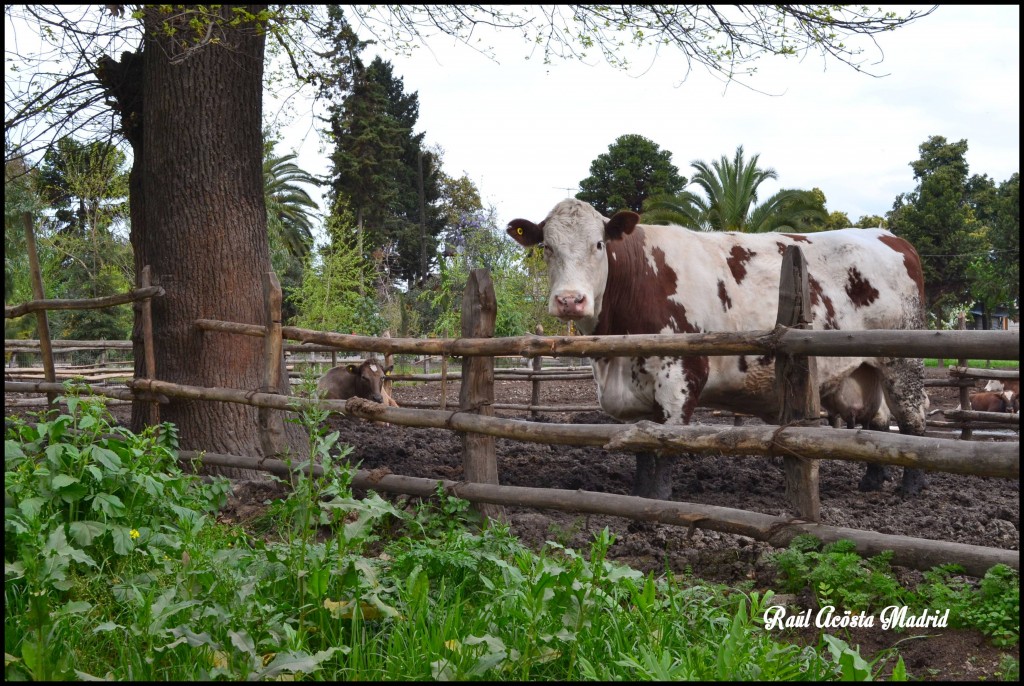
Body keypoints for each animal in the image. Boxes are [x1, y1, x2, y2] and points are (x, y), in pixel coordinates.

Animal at [507, 198, 933, 499]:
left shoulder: (680, 379)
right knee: (877, 422)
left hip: (902, 361)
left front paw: (658, 502)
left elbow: (665, 448)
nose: (570, 300)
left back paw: (911, 487)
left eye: (598, 244)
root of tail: (889, 237)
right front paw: (640, 495)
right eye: (547, 247)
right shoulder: (635, 391)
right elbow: (642, 448)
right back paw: (872, 480)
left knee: (912, 420)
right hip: (865, 368)